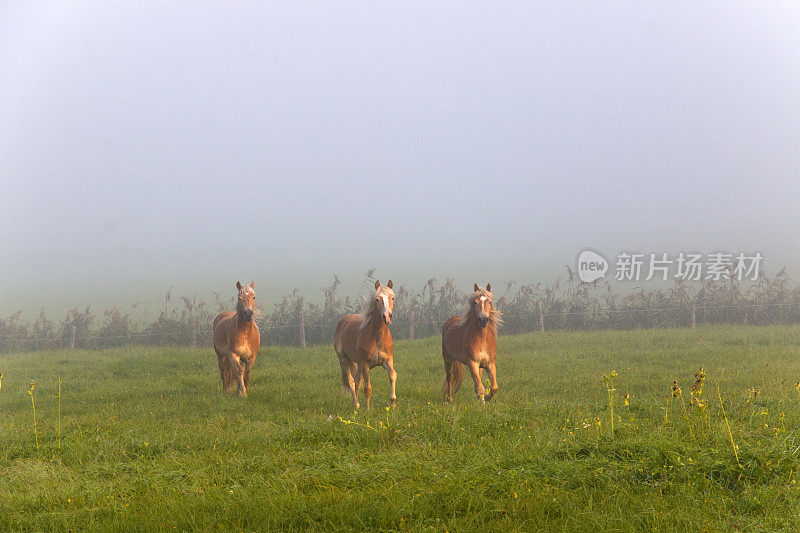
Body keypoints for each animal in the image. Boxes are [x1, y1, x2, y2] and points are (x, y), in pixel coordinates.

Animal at [332, 280, 396, 410]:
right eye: (377, 299)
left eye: (392, 298)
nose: (387, 316)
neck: (377, 337)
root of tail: (343, 322)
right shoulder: (366, 365)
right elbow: (367, 388)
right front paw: (367, 409)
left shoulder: (387, 360)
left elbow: (393, 375)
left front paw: (392, 403)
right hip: (344, 359)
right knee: (351, 381)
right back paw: (356, 405)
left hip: (359, 364)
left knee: (357, 381)